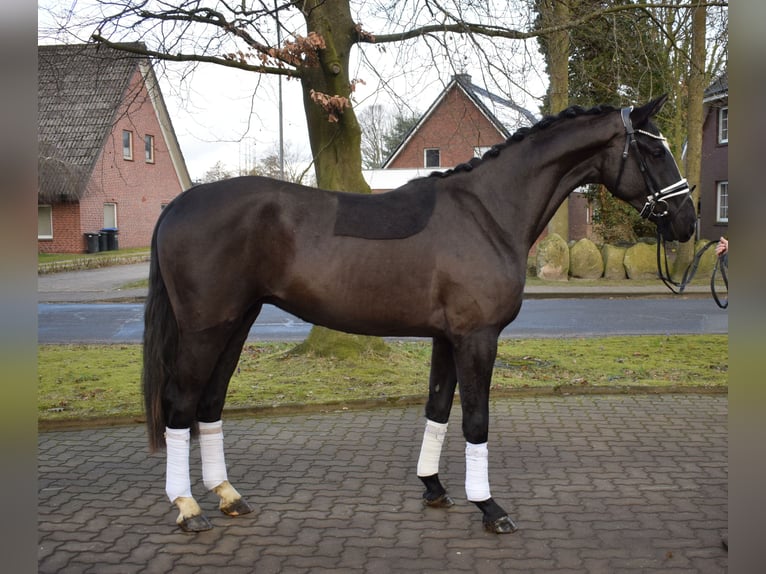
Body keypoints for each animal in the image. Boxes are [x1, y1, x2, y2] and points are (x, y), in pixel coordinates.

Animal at [142, 95, 696, 536]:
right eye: (653, 151)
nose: (688, 222)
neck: (488, 213)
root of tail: (177, 206)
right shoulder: (477, 337)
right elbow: (475, 419)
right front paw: (489, 507)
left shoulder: (446, 338)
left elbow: (438, 409)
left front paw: (433, 487)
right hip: (205, 329)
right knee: (180, 404)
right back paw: (188, 507)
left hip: (237, 322)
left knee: (210, 403)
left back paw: (228, 496)